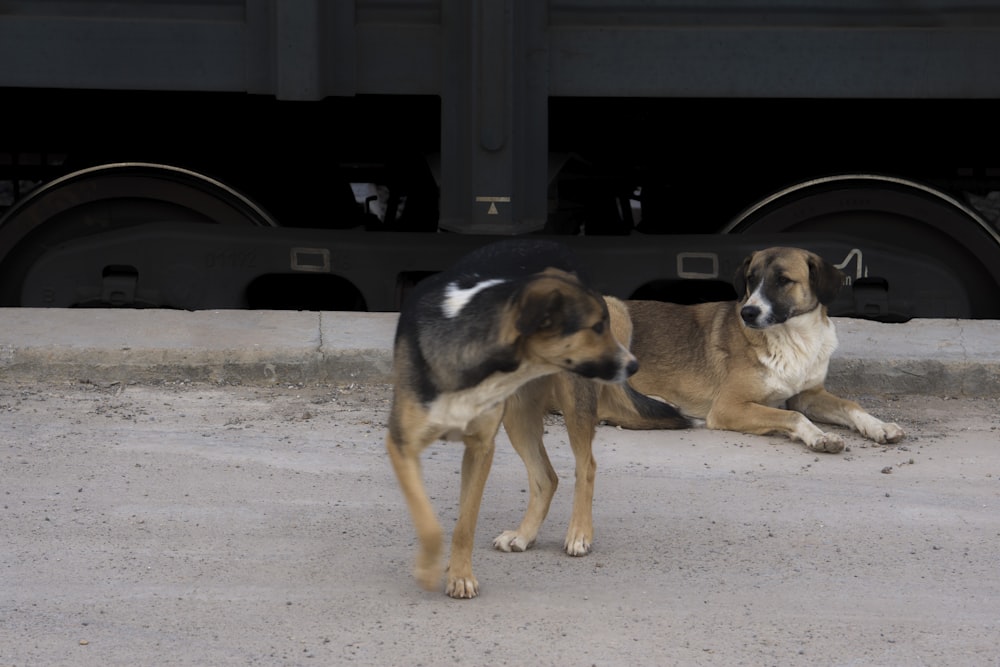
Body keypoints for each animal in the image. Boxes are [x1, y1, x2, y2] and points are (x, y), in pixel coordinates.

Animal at [384, 240, 688, 600]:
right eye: (596, 327)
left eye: (604, 324)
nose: (634, 366)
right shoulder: (401, 444)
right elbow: (430, 523)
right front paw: (432, 569)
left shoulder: (481, 449)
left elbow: (465, 524)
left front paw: (459, 576)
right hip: (519, 416)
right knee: (546, 476)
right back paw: (524, 534)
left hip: (571, 400)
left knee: (586, 466)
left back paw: (579, 533)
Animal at [600, 247, 908, 454]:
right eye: (751, 278)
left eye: (783, 280)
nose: (747, 312)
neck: (793, 338)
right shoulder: (728, 407)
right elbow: (793, 416)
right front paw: (818, 435)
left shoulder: (808, 395)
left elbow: (850, 405)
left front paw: (879, 426)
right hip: (616, 311)